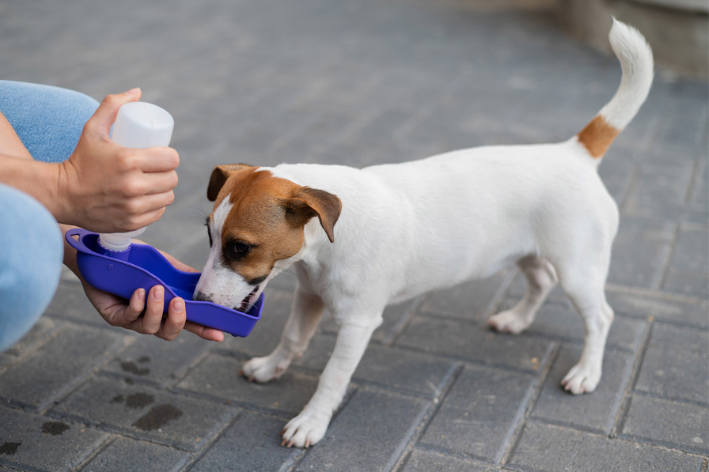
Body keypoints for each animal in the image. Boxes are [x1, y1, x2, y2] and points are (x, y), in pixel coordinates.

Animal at [192, 21, 652, 450]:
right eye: (210, 238)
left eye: (241, 247)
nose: (197, 300)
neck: (325, 245)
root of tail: (573, 151)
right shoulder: (309, 296)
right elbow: (292, 339)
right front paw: (271, 368)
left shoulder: (358, 323)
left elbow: (332, 377)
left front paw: (311, 421)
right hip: (527, 253)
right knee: (541, 281)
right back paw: (517, 320)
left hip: (579, 270)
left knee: (600, 317)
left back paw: (587, 372)